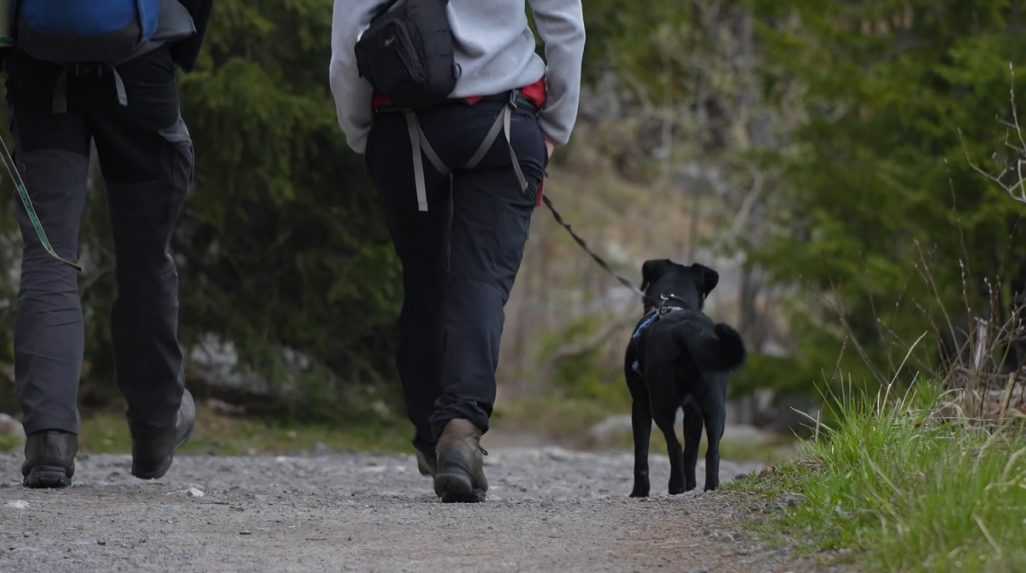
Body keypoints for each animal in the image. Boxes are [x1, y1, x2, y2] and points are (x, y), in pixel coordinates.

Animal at [623, 260, 746, 499]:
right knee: (712, 451)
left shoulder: (640, 403)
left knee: (674, 445)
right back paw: (710, 487)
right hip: (715, 405)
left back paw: (676, 485)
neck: (674, 300)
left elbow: (641, 452)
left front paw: (639, 492)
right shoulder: (694, 410)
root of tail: (687, 330)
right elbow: (692, 449)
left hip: (660, 403)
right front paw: (691, 485)